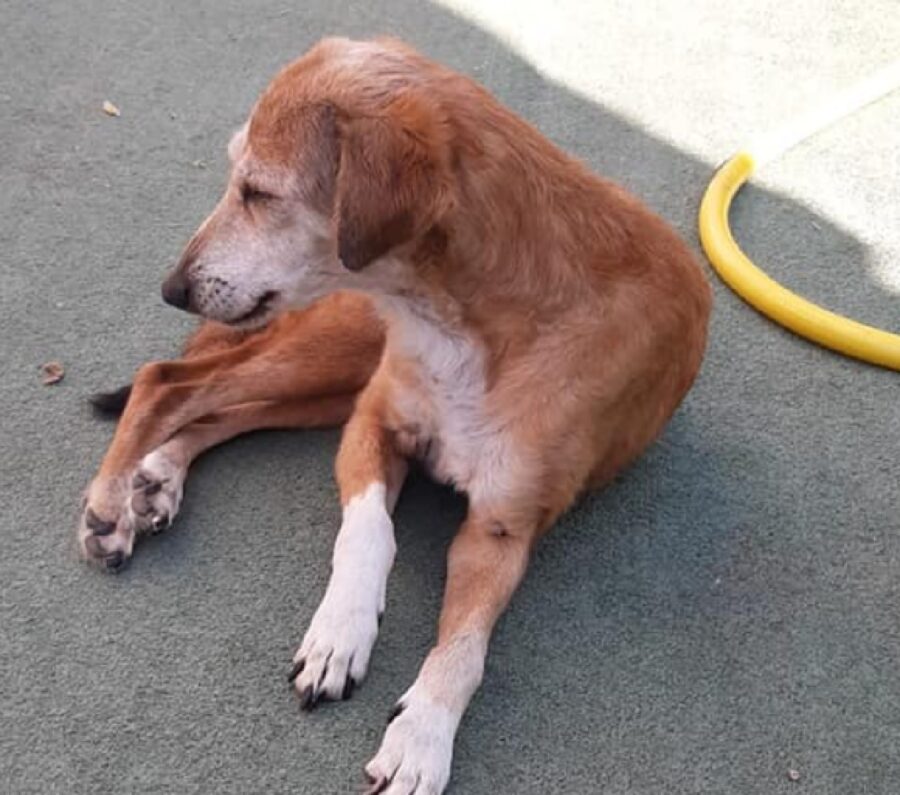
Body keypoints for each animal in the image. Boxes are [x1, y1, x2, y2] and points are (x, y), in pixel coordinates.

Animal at [75, 38, 712, 795]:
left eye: (259, 192)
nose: (172, 288)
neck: (475, 315)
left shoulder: (501, 527)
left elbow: (465, 648)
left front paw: (421, 734)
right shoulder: (373, 422)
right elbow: (369, 533)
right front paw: (341, 633)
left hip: (326, 381)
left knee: (216, 401)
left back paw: (155, 478)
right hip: (337, 354)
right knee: (170, 381)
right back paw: (110, 501)